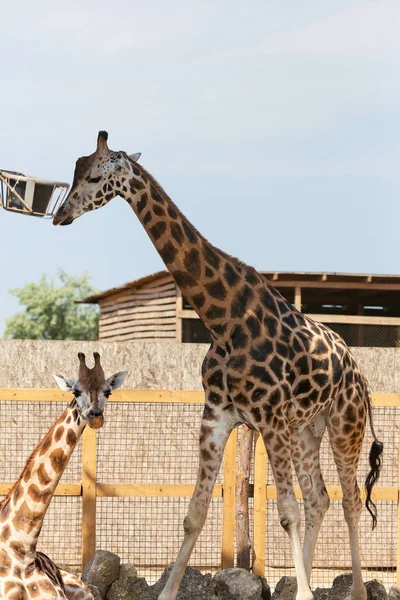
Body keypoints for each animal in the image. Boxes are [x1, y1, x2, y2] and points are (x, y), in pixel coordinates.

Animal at [54, 132, 384, 600]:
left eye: (96, 177)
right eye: (75, 171)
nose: (60, 215)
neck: (223, 318)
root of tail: (361, 378)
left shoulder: (269, 418)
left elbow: (287, 511)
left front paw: (304, 592)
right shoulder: (218, 415)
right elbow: (194, 514)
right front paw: (169, 592)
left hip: (344, 425)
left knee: (351, 500)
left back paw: (355, 591)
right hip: (307, 428)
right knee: (320, 497)